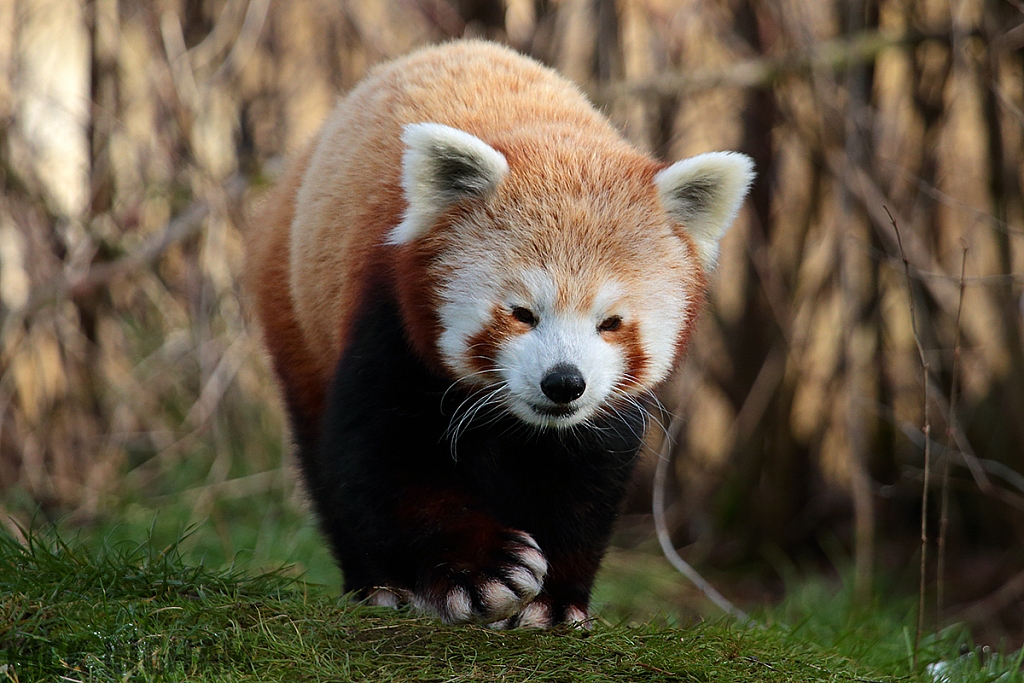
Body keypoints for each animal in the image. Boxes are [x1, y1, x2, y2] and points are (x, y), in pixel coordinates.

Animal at [246, 40, 753, 626]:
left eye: (610, 323)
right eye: (522, 313)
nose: (564, 383)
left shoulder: (603, 413)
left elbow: (587, 480)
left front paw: (553, 602)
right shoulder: (388, 319)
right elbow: (381, 462)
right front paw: (484, 571)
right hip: (298, 314)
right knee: (325, 464)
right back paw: (380, 586)